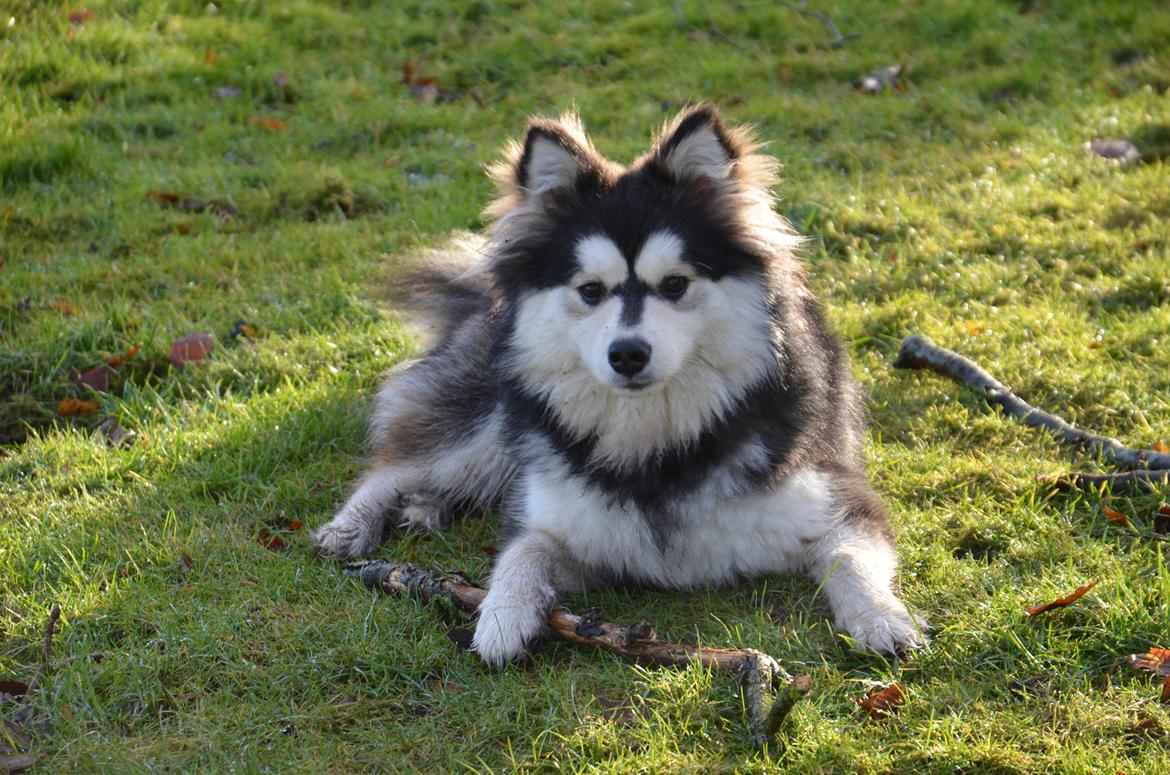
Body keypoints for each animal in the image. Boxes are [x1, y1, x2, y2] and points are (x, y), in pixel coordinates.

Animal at [315, 104, 926, 669]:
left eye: (675, 284)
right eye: (590, 290)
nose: (628, 354)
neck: (657, 448)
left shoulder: (837, 500)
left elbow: (849, 558)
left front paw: (880, 618)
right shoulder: (558, 522)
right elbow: (521, 552)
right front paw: (502, 614)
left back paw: (423, 509)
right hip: (487, 425)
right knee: (396, 463)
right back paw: (352, 526)